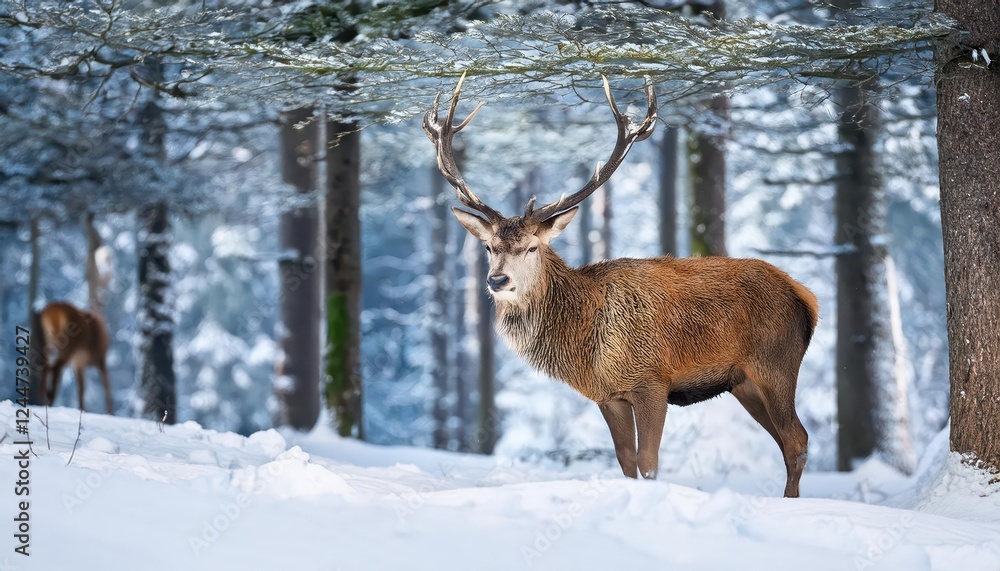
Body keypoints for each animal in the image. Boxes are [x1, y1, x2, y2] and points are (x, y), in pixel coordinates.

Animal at [425, 74, 818, 498]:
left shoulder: (652, 381)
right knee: (785, 440)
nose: (498, 279)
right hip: (744, 383)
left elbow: (649, 464)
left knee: (796, 439)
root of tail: (806, 298)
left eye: (532, 246)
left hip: (776, 363)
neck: (586, 345)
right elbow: (626, 462)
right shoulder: (608, 396)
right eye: (488, 246)